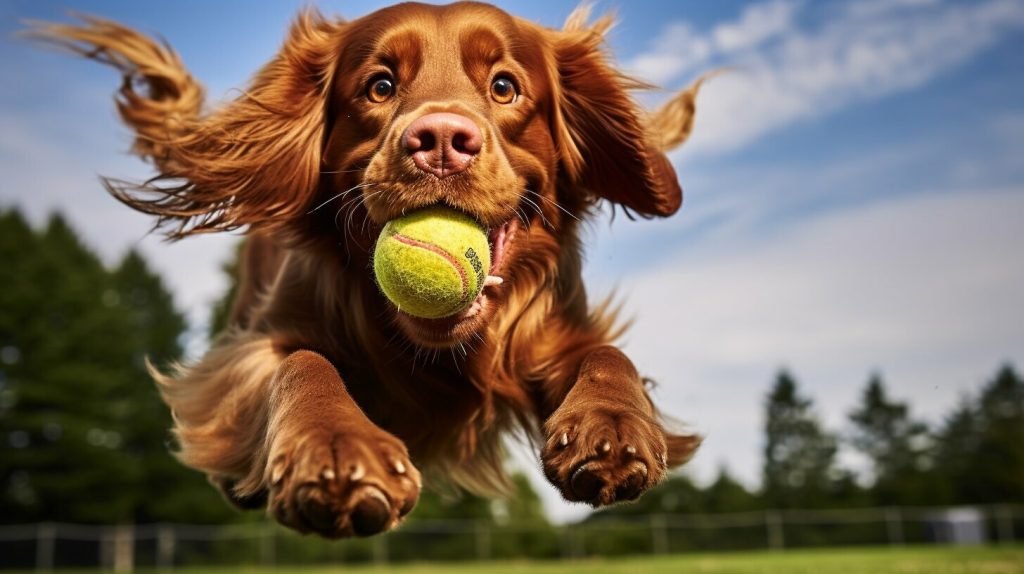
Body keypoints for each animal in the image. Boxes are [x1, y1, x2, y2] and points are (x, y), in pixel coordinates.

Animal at [29, 1, 704, 536]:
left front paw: (610, 427)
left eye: (505, 87)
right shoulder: (259, 342)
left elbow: (608, 355)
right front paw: (335, 448)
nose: (440, 141)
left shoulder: (555, 335)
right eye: (379, 86)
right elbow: (303, 363)